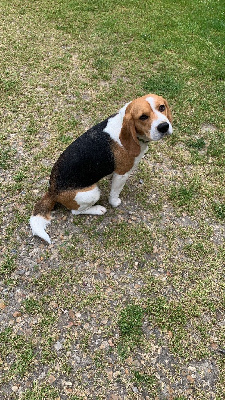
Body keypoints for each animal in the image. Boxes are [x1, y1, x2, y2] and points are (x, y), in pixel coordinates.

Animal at [29, 94, 172, 244]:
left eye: (162, 107)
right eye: (143, 117)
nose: (164, 126)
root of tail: (52, 191)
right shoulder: (122, 173)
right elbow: (115, 192)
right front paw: (115, 202)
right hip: (92, 193)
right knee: (76, 211)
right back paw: (98, 209)